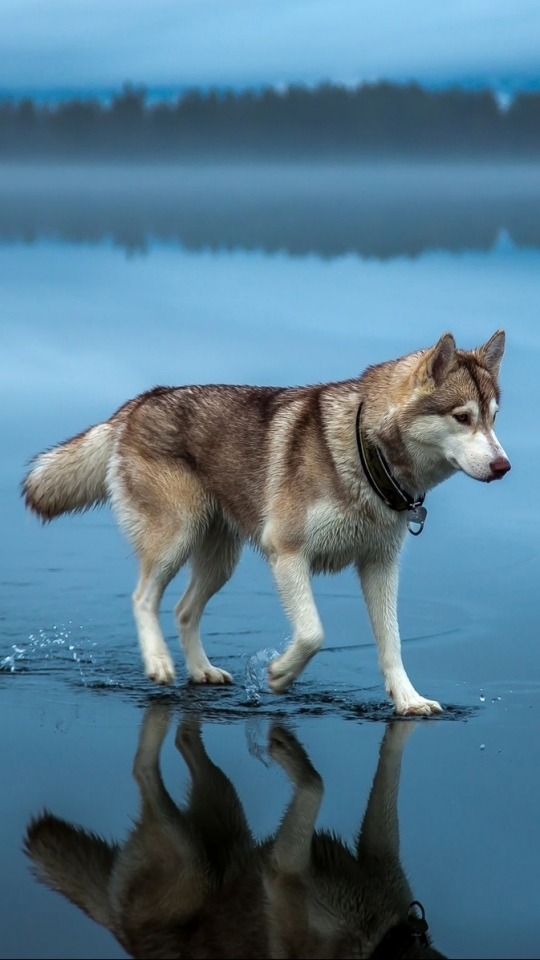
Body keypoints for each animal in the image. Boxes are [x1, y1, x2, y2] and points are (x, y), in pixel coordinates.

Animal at [22, 330, 510, 712]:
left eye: (493, 419)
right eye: (462, 417)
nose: (504, 466)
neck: (366, 454)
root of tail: (141, 400)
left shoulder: (380, 566)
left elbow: (391, 643)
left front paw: (408, 701)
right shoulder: (287, 553)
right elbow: (313, 633)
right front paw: (279, 674)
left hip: (221, 560)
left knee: (183, 610)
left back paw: (201, 671)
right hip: (175, 539)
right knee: (144, 597)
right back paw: (159, 663)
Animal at [24, 708, 448, 956]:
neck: (385, 941)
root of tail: (120, 932)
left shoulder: (377, 852)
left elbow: (389, 767)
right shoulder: (284, 871)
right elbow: (316, 784)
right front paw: (286, 750)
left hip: (225, 811)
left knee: (183, 741)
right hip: (193, 858)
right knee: (143, 769)